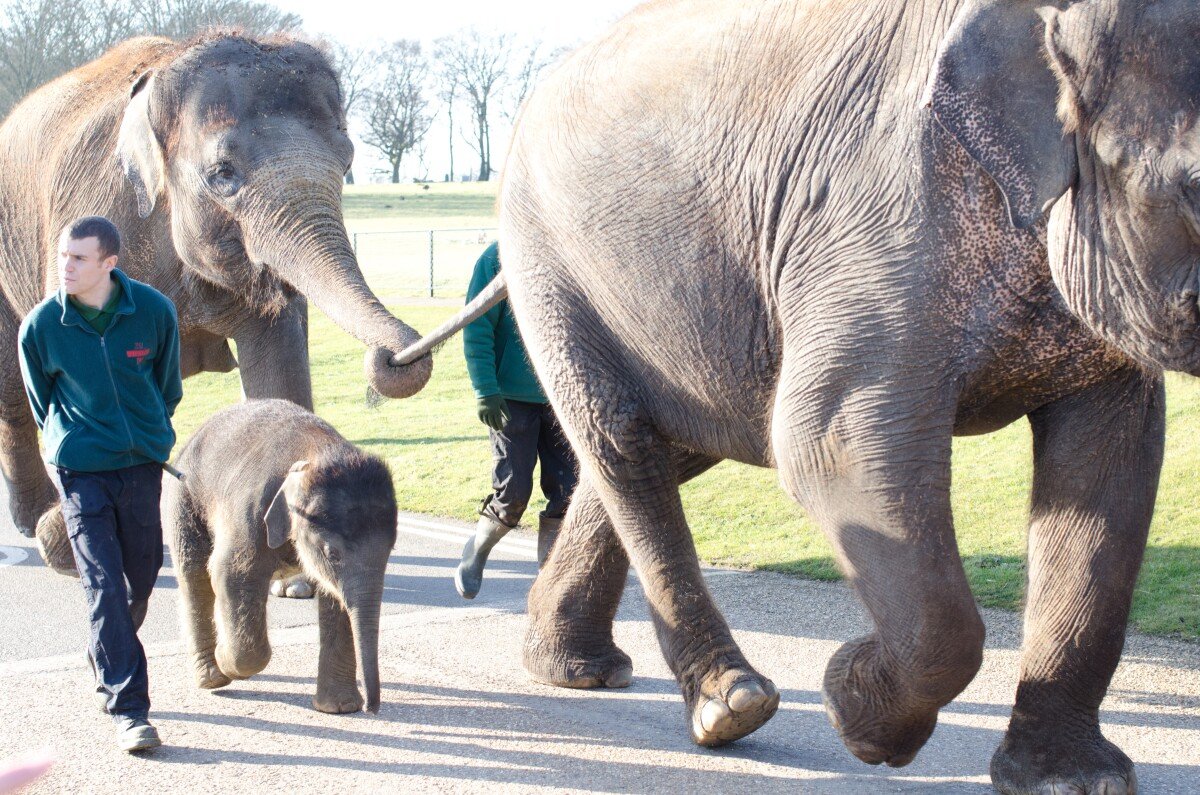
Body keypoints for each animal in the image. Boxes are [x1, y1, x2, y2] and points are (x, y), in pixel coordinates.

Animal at [0, 33, 431, 577]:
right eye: (223, 173)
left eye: (348, 162)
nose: (394, 356)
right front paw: (67, 538)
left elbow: (279, 360)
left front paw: (292, 577)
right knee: (13, 388)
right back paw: (38, 521)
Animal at [163, 399, 397, 713]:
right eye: (332, 553)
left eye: (390, 550)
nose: (371, 708)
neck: (317, 452)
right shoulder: (249, 514)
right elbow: (230, 574)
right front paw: (227, 660)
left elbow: (335, 597)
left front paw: (339, 708)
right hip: (184, 497)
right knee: (195, 575)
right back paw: (214, 677)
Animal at [398, 0, 1200, 791]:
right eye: (1195, 188)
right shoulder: (882, 222)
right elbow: (827, 441)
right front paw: (853, 705)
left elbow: (1111, 466)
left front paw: (1071, 780)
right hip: (552, 266)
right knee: (623, 439)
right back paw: (729, 705)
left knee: (660, 447)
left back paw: (570, 667)